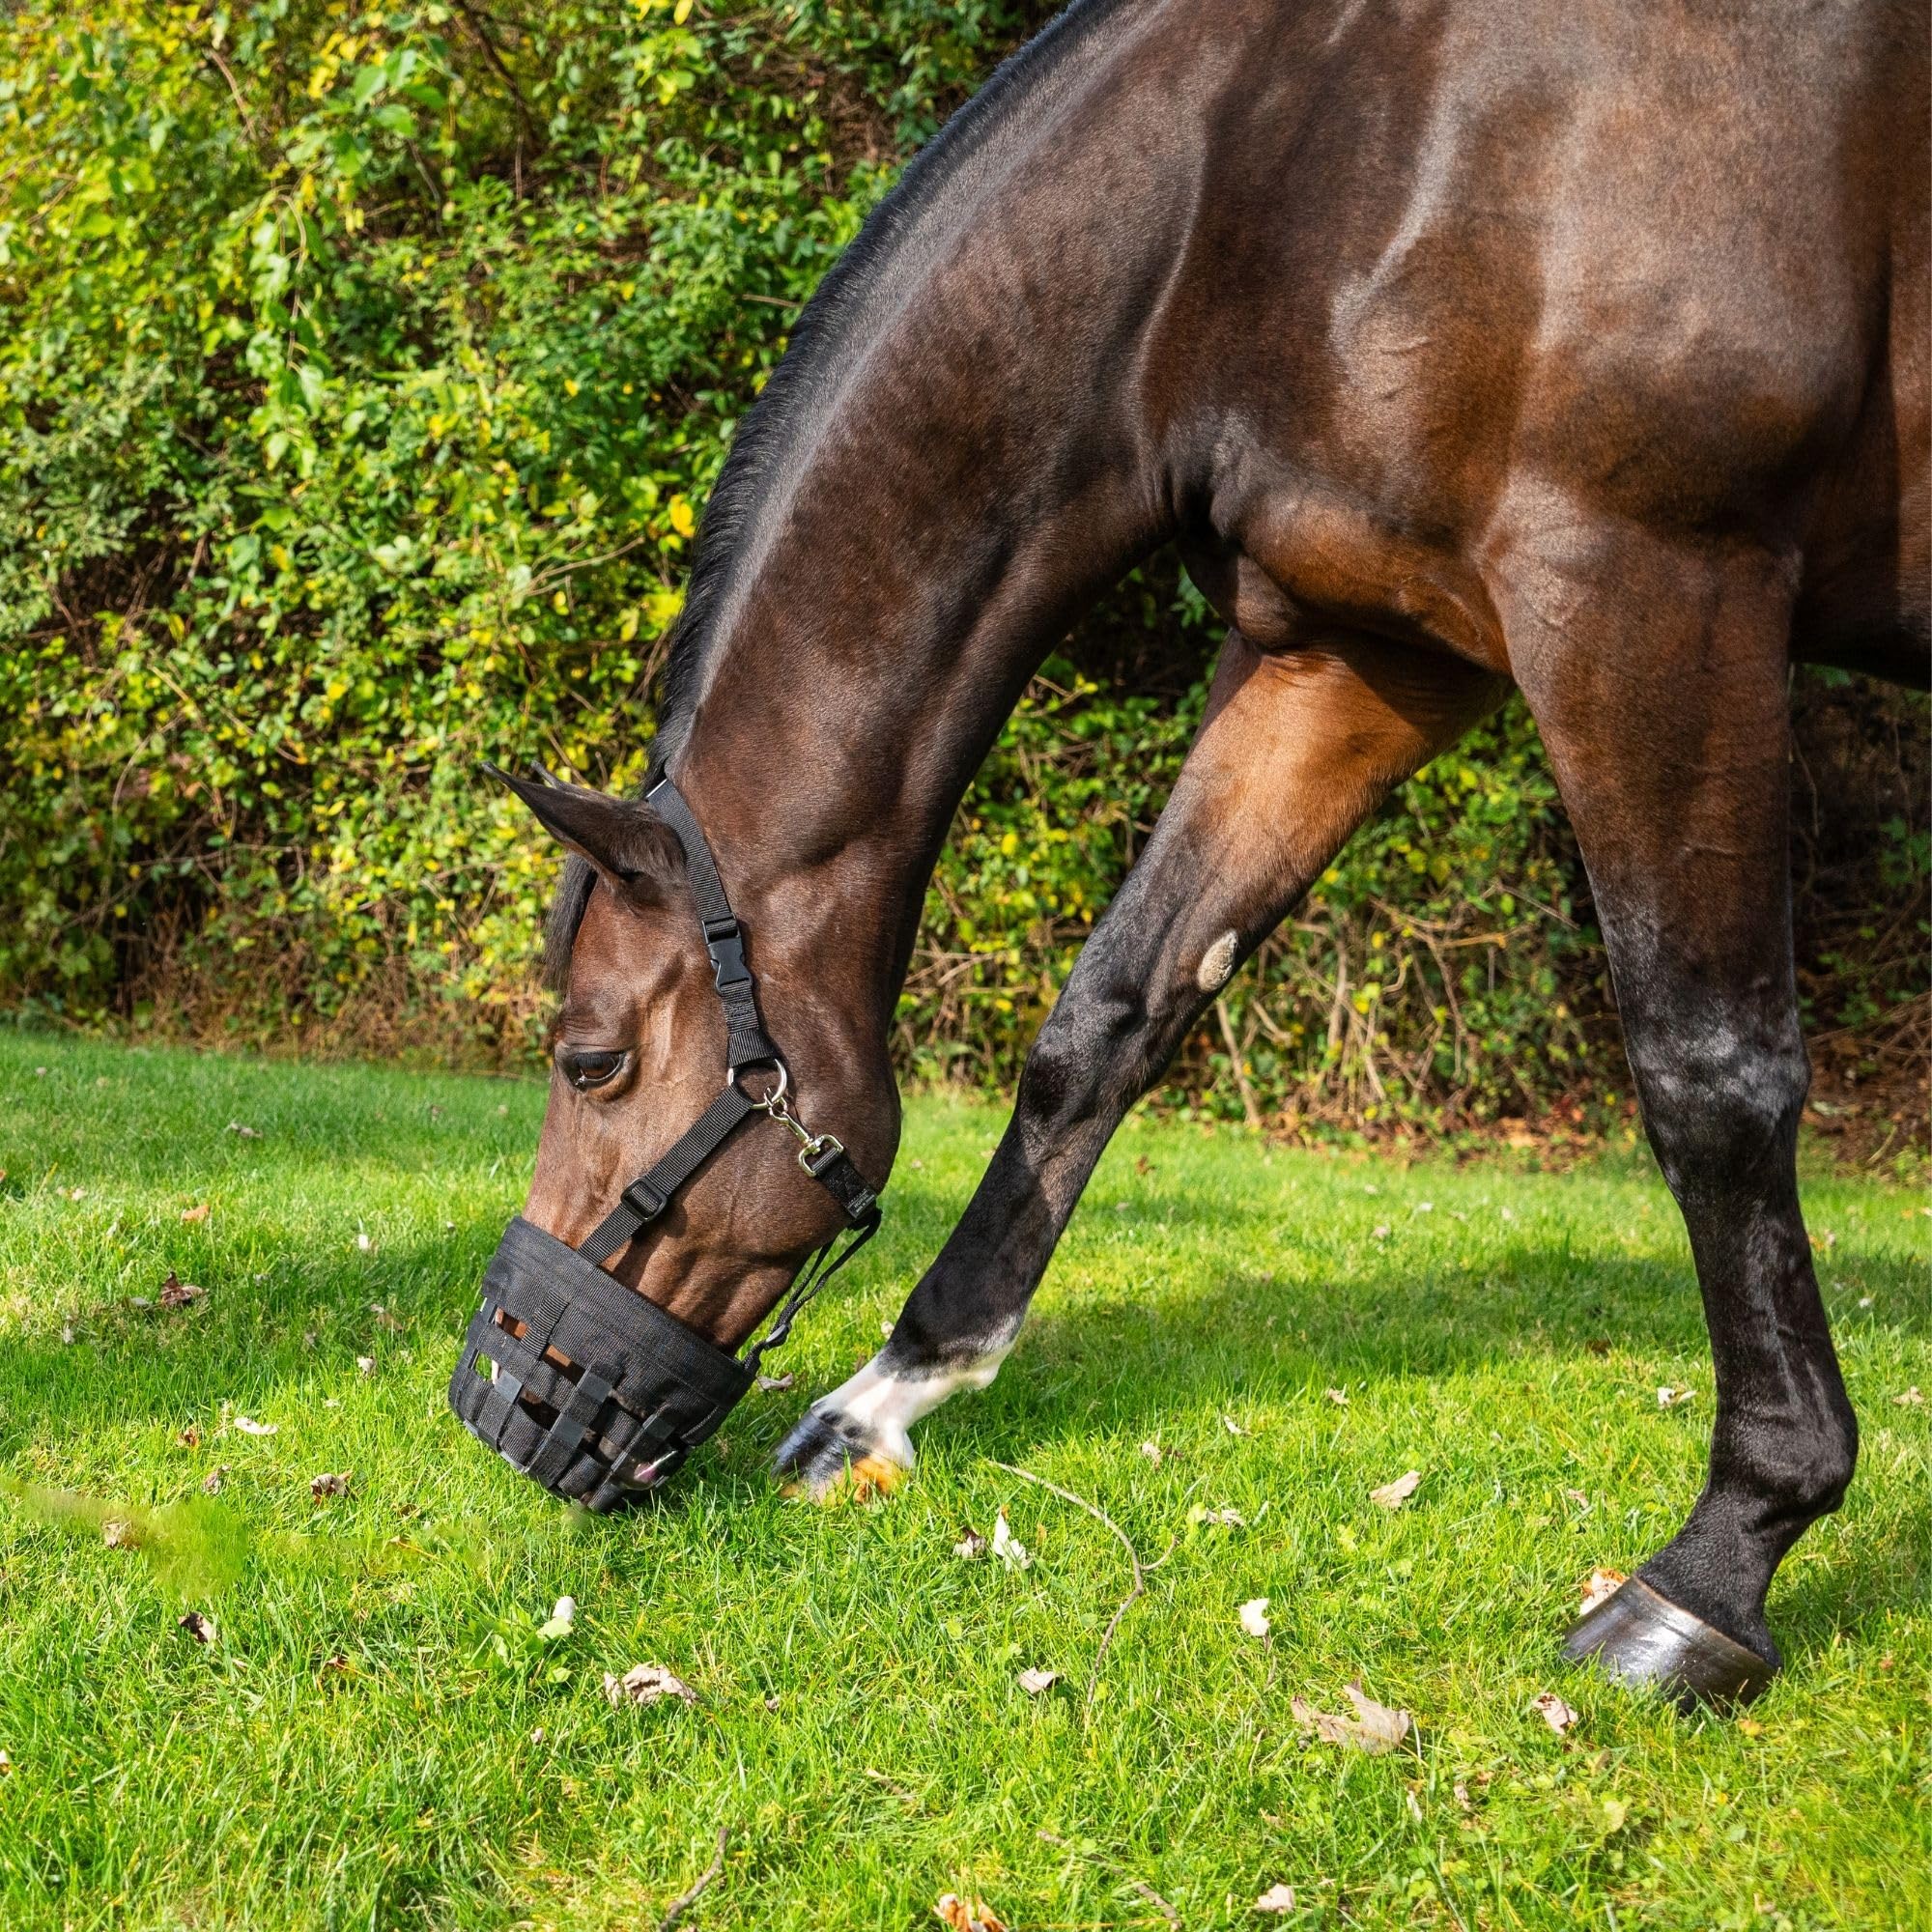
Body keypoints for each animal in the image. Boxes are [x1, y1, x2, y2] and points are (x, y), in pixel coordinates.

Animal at [474, 0, 1929, 1709]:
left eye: (590, 1063)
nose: (509, 1399)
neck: (1312, 165)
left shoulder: (1649, 588)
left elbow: (1712, 1079)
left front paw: (1725, 1558)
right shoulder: (1358, 653)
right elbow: (1108, 1017)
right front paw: (894, 1394)